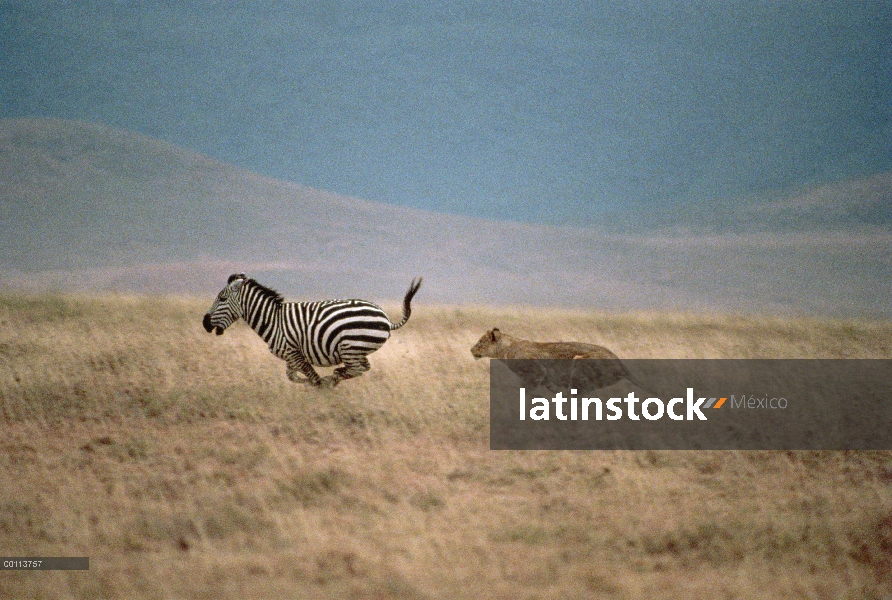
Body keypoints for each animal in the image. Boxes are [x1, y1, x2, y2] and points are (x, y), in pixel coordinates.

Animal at [204, 274, 424, 386]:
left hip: (349, 347)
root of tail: (385, 317)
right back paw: (335, 376)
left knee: (357, 369)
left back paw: (332, 378)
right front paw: (311, 384)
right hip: (357, 350)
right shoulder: (290, 356)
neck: (272, 320)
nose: (205, 323)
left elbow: (310, 376)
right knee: (363, 368)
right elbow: (292, 377)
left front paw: (319, 385)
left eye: (222, 298)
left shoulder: (294, 352)